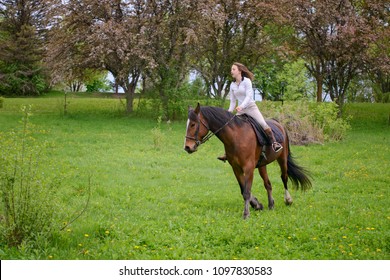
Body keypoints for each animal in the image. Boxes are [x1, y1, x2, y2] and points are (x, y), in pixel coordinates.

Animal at [184, 103, 312, 219]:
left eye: (193, 124)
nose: (187, 147)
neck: (237, 136)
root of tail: (279, 124)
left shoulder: (248, 168)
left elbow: (246, 191)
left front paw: (246, 214)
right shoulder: (236, 168)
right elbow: (243, 189)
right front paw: (257, 204)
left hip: (282, 159)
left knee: (284, 177)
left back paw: (288, 200)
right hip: (262, 165)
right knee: (268, 184)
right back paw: (271, 204)